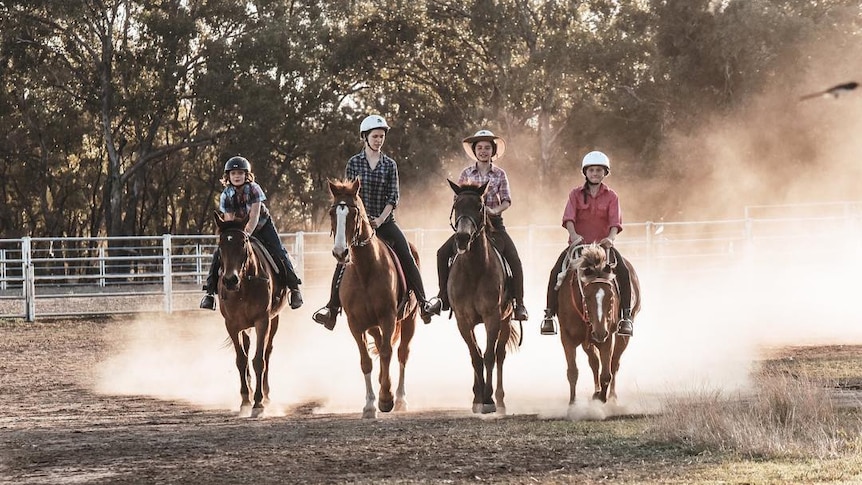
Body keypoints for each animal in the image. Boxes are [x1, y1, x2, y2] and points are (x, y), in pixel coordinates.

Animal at [213, 212, 288, 416]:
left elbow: (259, 360)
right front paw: (245, 400)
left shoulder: (263, 320)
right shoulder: (231, 325)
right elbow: (241, 360)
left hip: (274, 320)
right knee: (246, 349)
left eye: (243, 243)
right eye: (221, 244)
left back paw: (266, 395)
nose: (230, 280)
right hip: (244, 327)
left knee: (268, 353)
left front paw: (258, 403)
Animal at [328, 180, 418, 418]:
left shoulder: (388, 317)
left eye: (353, 213)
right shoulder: (355, 323)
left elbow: (387, 352)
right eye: (332, 213)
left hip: (410, 320)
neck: (365, 269)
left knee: (401, 353)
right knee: (379, 345)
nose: (340, 252)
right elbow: (366, 361)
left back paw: (400, 398)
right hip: (372, 325)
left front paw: (385, 399)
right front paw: (369, 404)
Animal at [446, 180, 520, 414]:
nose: (462, 238)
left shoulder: (492, 318)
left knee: (500, 355)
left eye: (479, 207)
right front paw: (478, 398)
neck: (474, 269)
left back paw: (500, 399)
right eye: (456, 205)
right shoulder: (463, 321)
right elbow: (475, 356)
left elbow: (488, 356)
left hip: (506, 321)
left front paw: (488, 399)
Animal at [556, 242, 644, 404]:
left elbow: (606, 374)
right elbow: (573, 371)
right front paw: (572, 404)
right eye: (586, 296)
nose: (599, 332)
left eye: (611, 296)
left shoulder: (606, 337)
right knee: (594, 362)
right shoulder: (567, 337)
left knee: (614, 363)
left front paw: (601, 398)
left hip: (622, 334)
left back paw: (612, 396)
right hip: (588, 340)